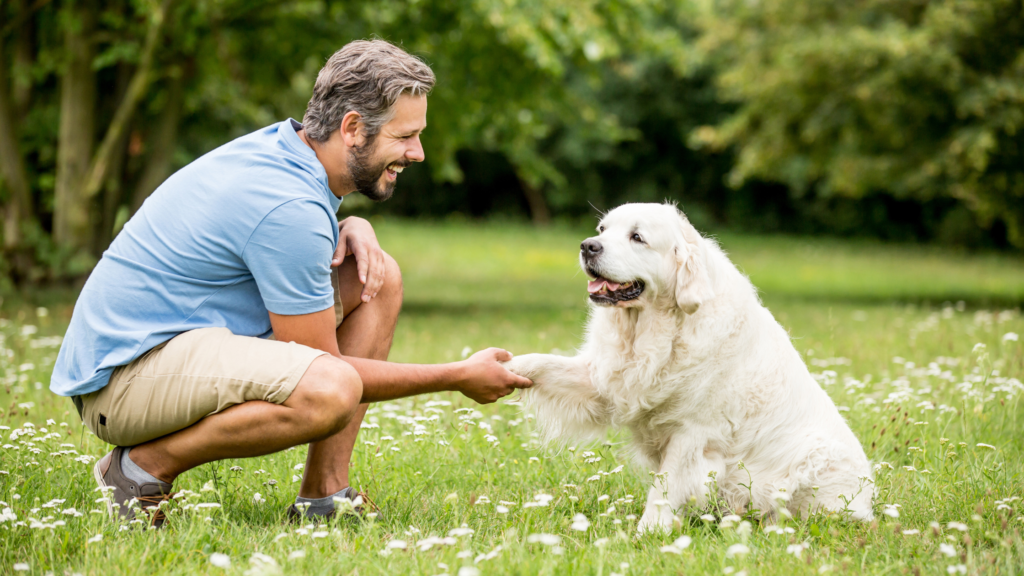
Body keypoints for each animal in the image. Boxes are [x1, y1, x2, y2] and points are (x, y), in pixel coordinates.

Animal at [503, 202, 872, 532]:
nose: (588, 246)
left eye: (637, 237)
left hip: (813, 457)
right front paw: (503, 366)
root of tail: (869, 503)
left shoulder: (692, 433)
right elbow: (541, 363)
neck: (653, 331)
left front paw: (647, 533)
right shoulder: (604, 381)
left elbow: (664, 488)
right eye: (602, 229)